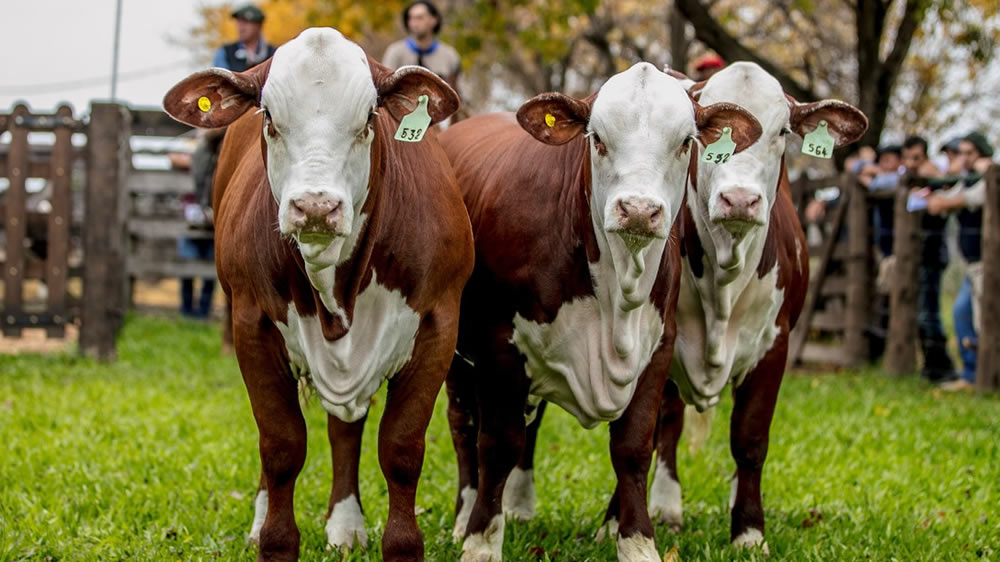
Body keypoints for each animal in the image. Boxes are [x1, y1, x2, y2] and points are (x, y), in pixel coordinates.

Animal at [163, 28, 472, 556]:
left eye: (369, 118)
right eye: (268, 117)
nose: (315, 207)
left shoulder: (439, 325)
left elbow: (401, 448)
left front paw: (401, 546)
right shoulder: (252, 326)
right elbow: (281, 444)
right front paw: (274, 542)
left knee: (345, 427)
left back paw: (345, 524)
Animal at [442, 62, 760, 560]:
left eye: (685, 142)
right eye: (597, 139)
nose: (639, 209)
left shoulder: (657, 348)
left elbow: (634, 447)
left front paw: (638, 544)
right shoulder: (500, 348)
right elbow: (496, 444)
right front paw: (480, 543)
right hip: (458, 357)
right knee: (465, 430)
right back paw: (463, 517)